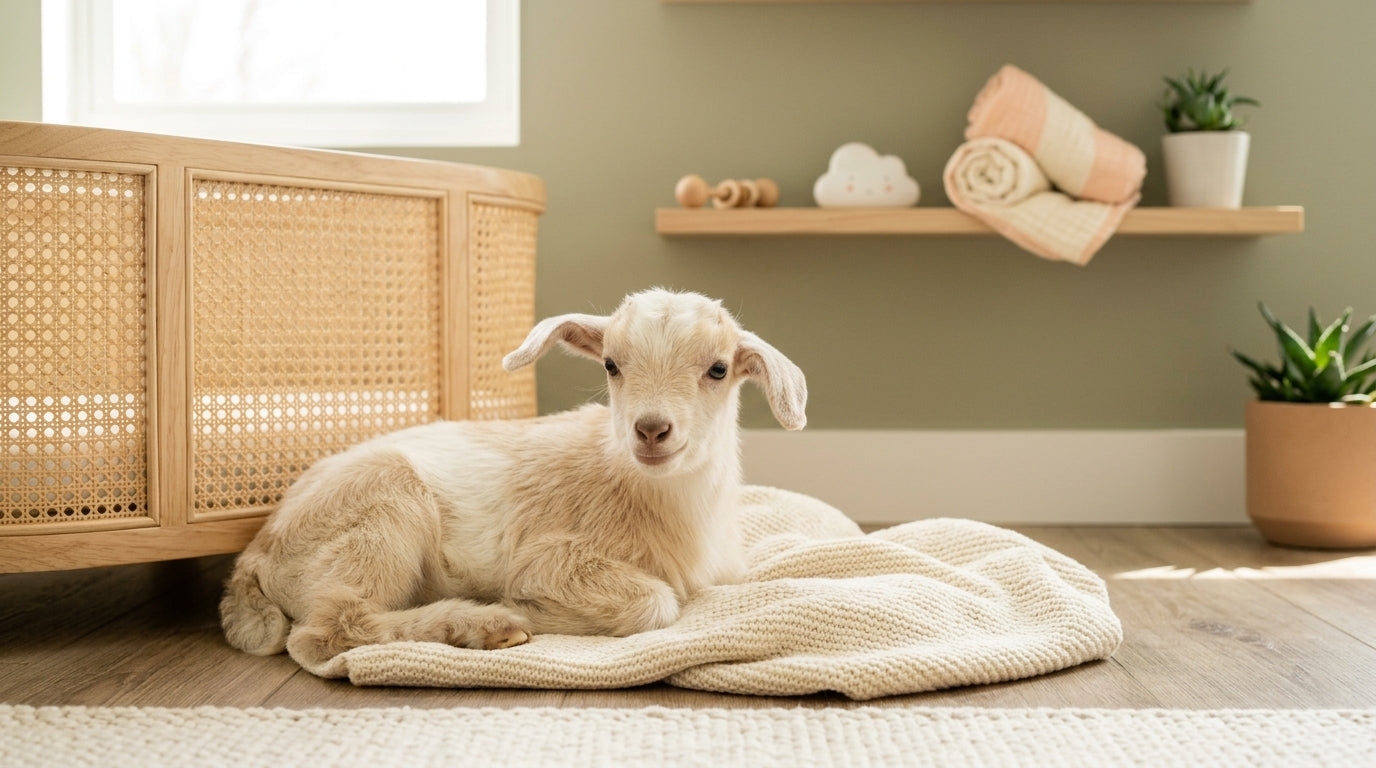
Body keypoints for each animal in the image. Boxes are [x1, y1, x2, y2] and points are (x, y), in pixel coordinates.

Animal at [219, 288, 807, 668]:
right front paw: (529, 609)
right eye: (611, 365)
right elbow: (654, 602)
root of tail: (254, 559)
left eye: (718, 369)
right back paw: (485, 624)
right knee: (325, 633)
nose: (651, 430)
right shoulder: (551, 558)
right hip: (382, 514)